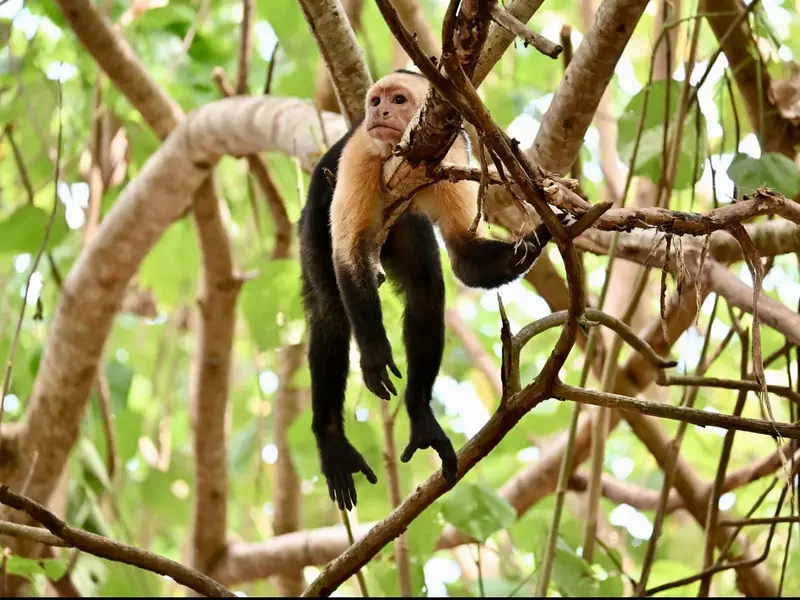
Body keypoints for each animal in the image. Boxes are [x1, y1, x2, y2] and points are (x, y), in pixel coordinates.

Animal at [298, 69, 572, 511]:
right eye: (376, 101)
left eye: (397, 99)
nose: (380, 112)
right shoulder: (360, 151)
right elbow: (349, 255)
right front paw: (374, 353)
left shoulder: (453, 157)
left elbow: (465, 259)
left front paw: (547, 231)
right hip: (311, 224)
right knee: (330, 309)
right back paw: (331, 440)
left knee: (426, 288)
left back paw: (420, 415)